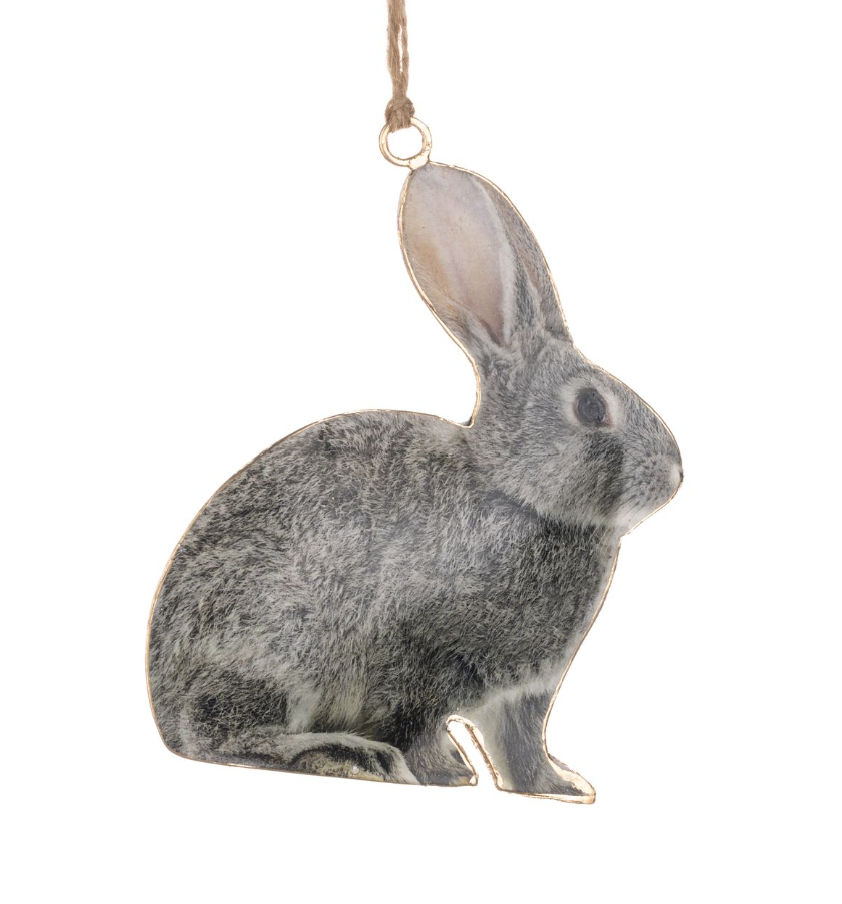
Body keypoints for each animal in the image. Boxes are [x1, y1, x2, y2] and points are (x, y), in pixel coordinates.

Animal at [146, 162, 682, 802]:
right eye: (592, 408)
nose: (676, 474)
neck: (516, 495)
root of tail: (159, 706)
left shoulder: (523, 695)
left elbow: (522, 748)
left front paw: (560, 786)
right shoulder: (415, 660)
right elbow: (415, 723)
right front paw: (445, 773)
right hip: (282, 640)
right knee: (223, 734)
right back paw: (352, 756)